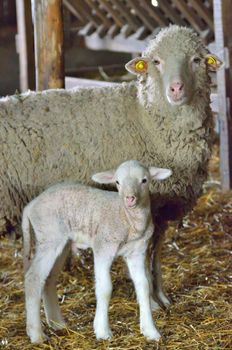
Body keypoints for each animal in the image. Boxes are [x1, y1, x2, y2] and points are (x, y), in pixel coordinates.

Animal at [0, 25, 221, 306]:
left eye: (196, 60)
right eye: (156, 62)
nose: (176, 88)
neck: (145, 118)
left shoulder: (160, 206)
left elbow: (156, 254)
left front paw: (161, 296)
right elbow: (144, 254)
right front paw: (150, 301)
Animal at [22, 160, 171, 344]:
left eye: (144, 180)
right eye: (117, 182)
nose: (130, 199)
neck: (126, 218)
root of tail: (31, 205)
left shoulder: (137, 252)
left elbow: (143, 285)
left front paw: (151, 331)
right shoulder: (103, 248)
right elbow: (105, 288)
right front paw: (102, 331)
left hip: (61, 243)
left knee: (48, 279)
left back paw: (57, 324)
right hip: (49, 236)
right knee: (33, 278)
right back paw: (36, 335)